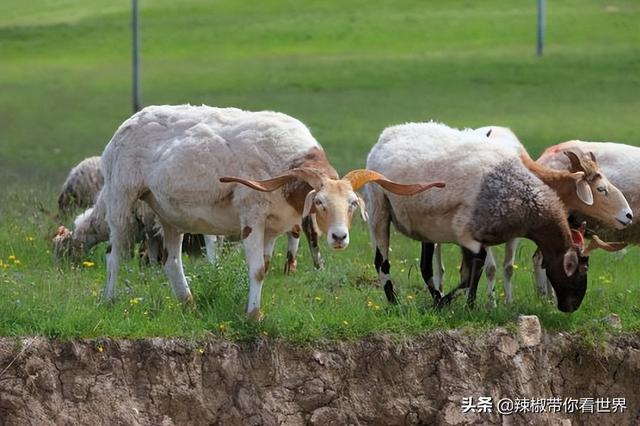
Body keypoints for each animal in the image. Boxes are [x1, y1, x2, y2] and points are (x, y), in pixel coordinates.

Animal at [100, 105, 442, 320]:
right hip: (120, 198)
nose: (339, 237)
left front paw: (253, 310)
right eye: (320, 202)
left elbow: (263, 267)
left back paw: (189, 304)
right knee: (114, 254)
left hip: (170, 214)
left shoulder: (274, 228)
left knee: (172, 262)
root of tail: (128, 124)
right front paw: (254, 317)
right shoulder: (253, 219)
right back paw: (109, 300)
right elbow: (257, 271)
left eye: (352, 204)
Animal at [364, 122, 604, 312]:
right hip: (379, 207)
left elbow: (474, 271)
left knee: (425, 267)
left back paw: (433, 297)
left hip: (424, 224)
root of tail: (387, 133)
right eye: (580, 270)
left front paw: (463, 304)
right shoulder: (465, 231)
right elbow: (474, 269)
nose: (571, 307)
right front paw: (458, 304)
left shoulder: (483, 236)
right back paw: (395, 302)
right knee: (381, 262)